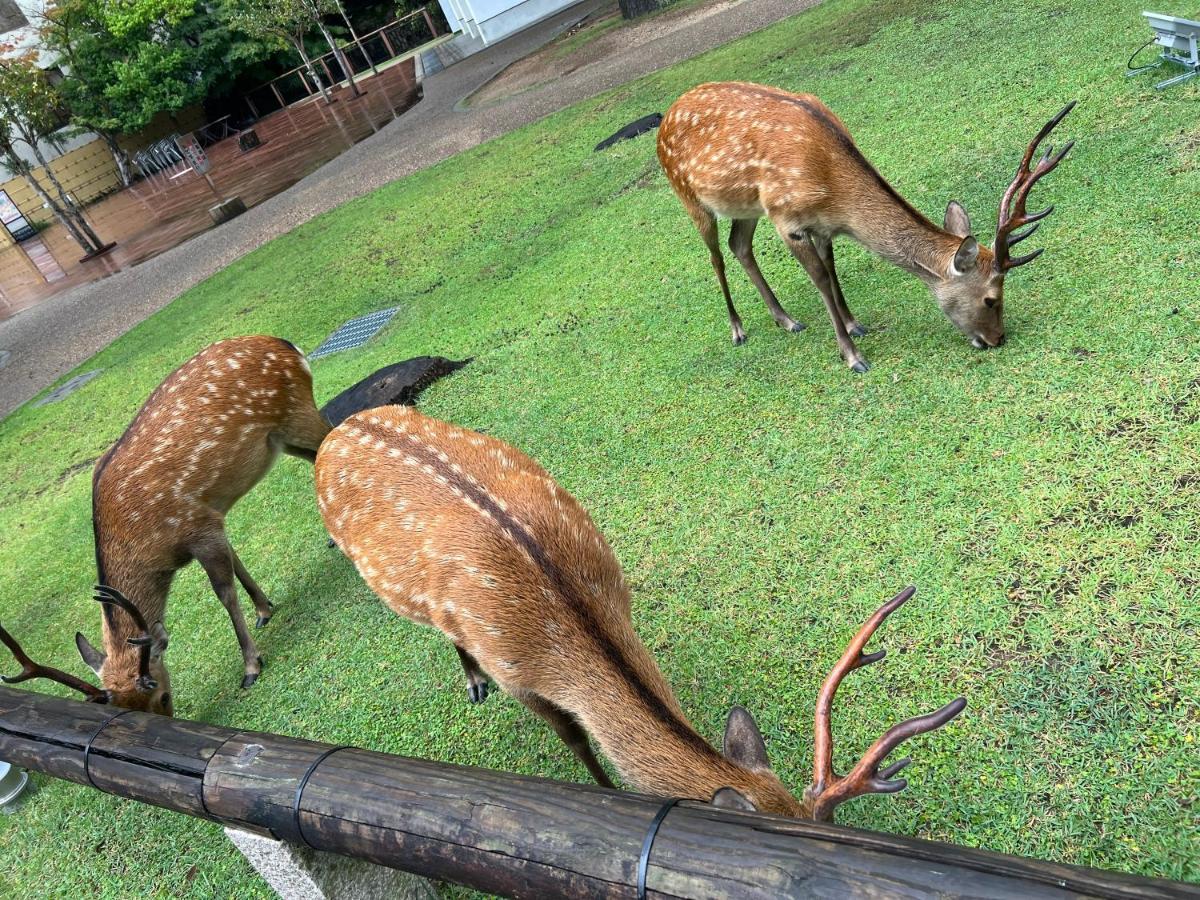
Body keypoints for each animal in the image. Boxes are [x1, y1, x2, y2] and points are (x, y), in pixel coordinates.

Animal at [0, 336, 328, 715]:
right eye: (121, 708)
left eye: (162, 695)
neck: (151, 548)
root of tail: (286, 345)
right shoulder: (210, 517)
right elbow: (236, 560)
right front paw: (264, 609)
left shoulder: (195, 525)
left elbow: (224, 591)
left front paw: (251, 665)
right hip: (282, 439)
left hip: (296, 414)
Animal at [657, 80, 1080, 369]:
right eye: (991, 299)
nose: (998, 339)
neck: (834, 192)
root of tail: (665, 117)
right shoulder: (786, 217)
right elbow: (820, 278)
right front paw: (853, 355)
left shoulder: (822, 225)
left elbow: (831, 269)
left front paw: (854, 323)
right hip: (688, 195)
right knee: (716, 256)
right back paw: (738, 328)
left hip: (744, 208)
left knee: (739, 246)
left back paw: (787, 320)